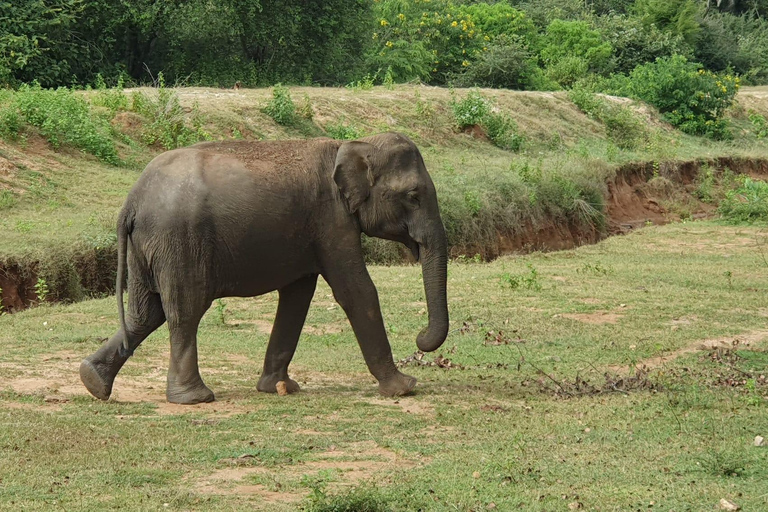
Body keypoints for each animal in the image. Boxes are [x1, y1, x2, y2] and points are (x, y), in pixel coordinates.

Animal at [78, 132, 450, 404]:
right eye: (414, 195)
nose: (420, 340)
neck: (352, 144)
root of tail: (131, 202)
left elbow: (298, 296)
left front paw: (279, 387)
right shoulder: (331, 220)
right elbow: (356, 291)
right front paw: (404, 387)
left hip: (148, 247)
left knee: (145, 313)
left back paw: (93, 381)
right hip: (179, 241)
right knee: (184, 310)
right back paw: (195, 398)